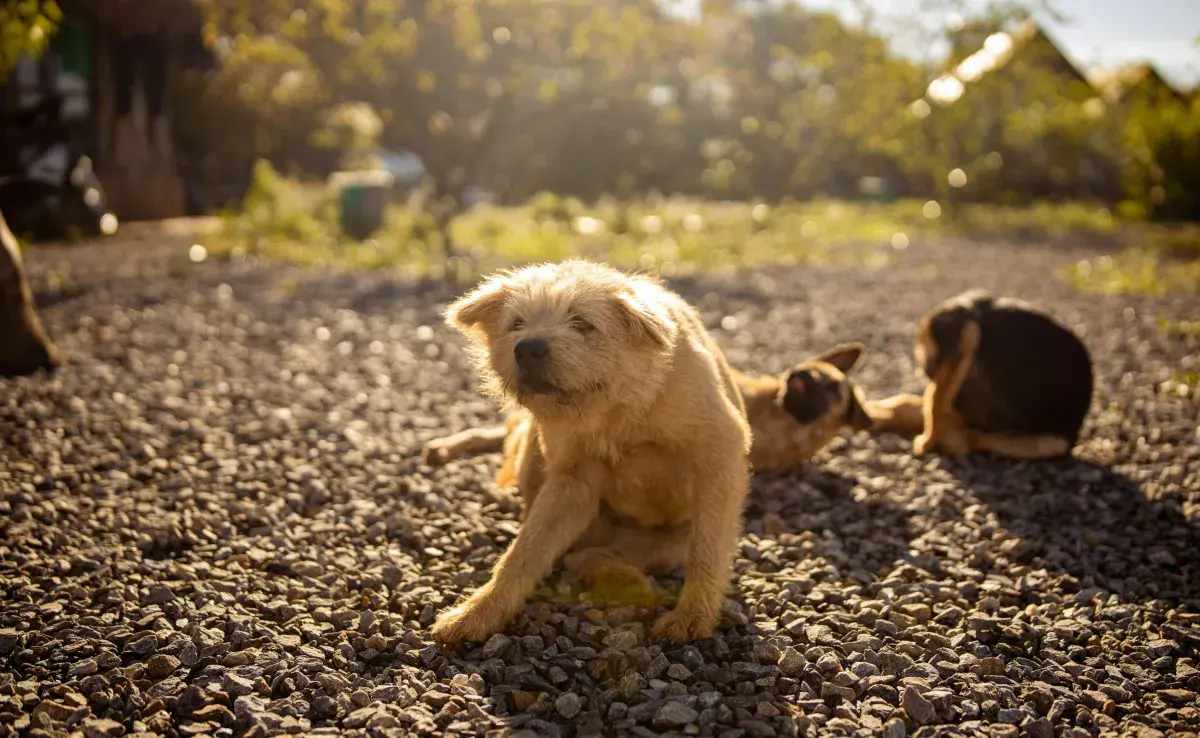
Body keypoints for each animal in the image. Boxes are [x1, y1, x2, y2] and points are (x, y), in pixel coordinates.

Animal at [429, 261, 748, 648]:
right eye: (516, 323)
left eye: (582, 323)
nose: (527, 348)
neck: (617, 408)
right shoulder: (572, 479)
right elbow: (523, 552)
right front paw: (476, 613)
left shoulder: (721, 452)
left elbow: (707, 548)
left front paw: (691, 617)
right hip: (534, 450)